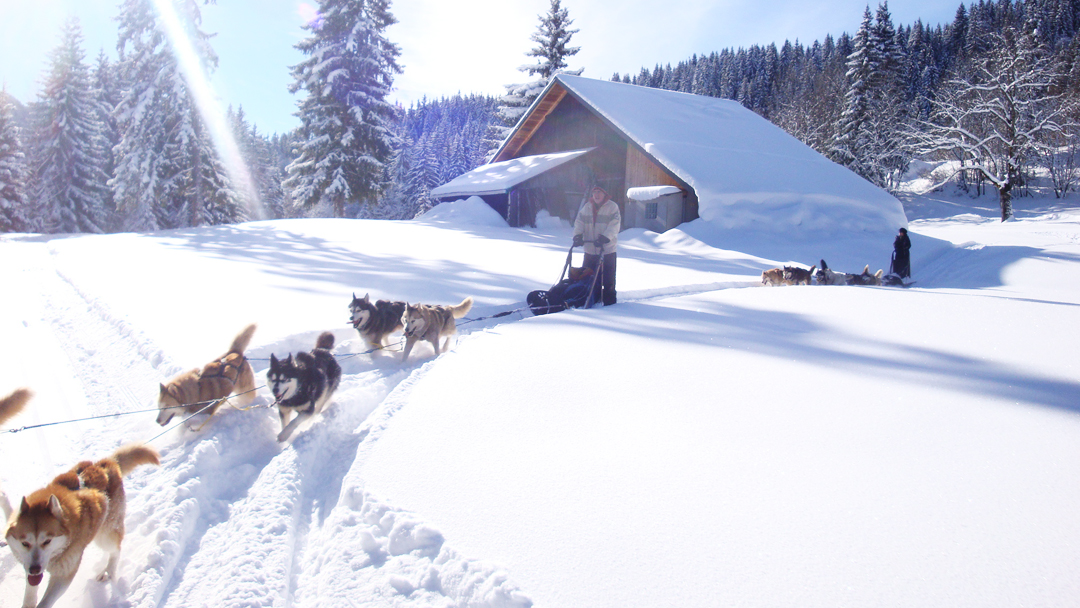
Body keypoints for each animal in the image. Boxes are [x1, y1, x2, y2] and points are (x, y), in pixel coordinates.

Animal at [4, 442, 157, 608]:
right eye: (25, 543)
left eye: (47, 541)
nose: (35, 569)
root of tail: (107, 464)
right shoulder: (28, 565)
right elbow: (30, 595)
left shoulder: (64, 575)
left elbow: (45, 602)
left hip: (105, 536)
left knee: (115, 550)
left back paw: (108, 570)